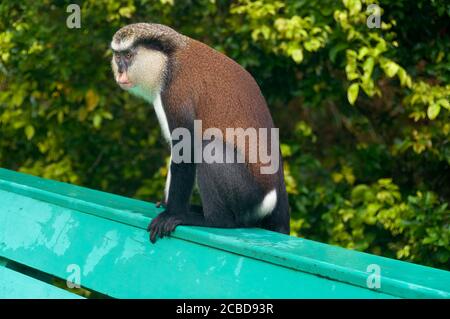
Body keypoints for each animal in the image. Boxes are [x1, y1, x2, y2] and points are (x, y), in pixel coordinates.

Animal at [110, 23, 290, 242]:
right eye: (117, 56)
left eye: (128, 55)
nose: (120, 73)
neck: (168, 61)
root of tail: (277, 195)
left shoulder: (176, 93)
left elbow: (185, 150)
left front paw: (171, 213)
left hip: (250, 195)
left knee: (209, 147)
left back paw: (212, 219)